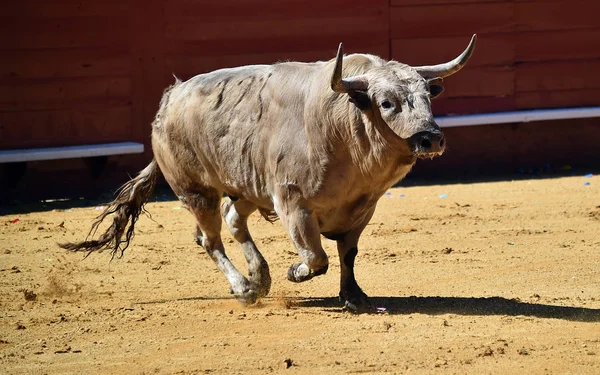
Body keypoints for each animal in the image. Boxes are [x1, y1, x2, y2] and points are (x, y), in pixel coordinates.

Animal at [59, 35, 474, 312]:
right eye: (386, 103)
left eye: (427, 97)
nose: (430, 138)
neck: (340, 126)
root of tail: (168, 100)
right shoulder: (292, 204)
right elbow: (317, 257)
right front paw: (295, 272)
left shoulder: (362, 208)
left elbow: (349, 253)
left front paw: (354, 296)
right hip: (196, 191)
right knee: (210, 239)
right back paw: (245, 288)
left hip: (245, 188)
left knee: (232, 219)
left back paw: (259, 278)